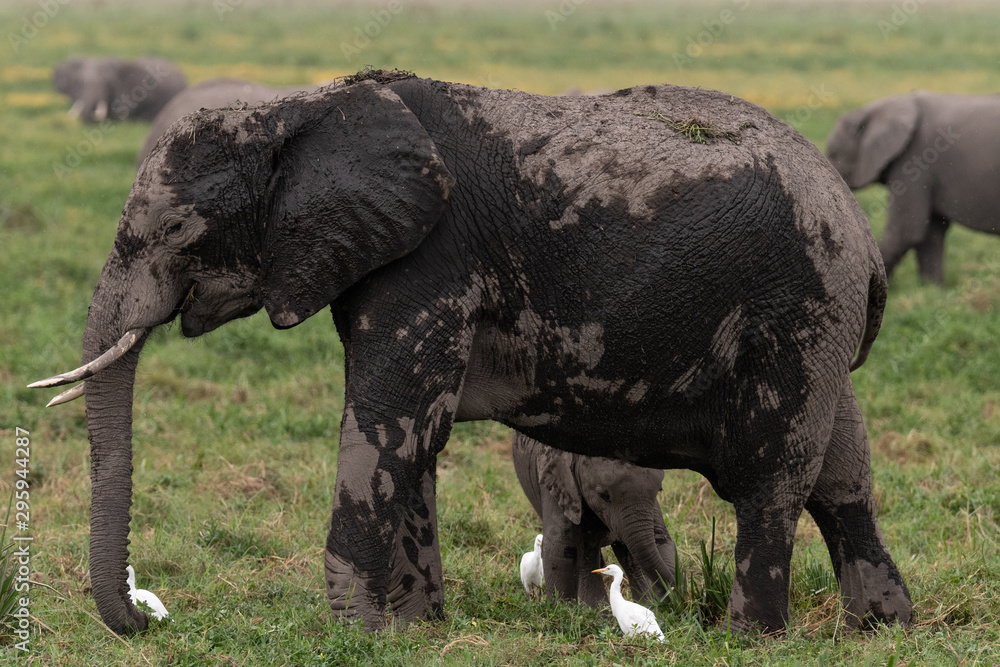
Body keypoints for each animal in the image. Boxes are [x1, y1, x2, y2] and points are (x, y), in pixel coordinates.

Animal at [512, 432, 675, 607]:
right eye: (603, 496)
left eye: (659, 490)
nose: (673, 590)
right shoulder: (557, 479)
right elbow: (562, 547)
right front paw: (567, 611)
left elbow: (660, 537)